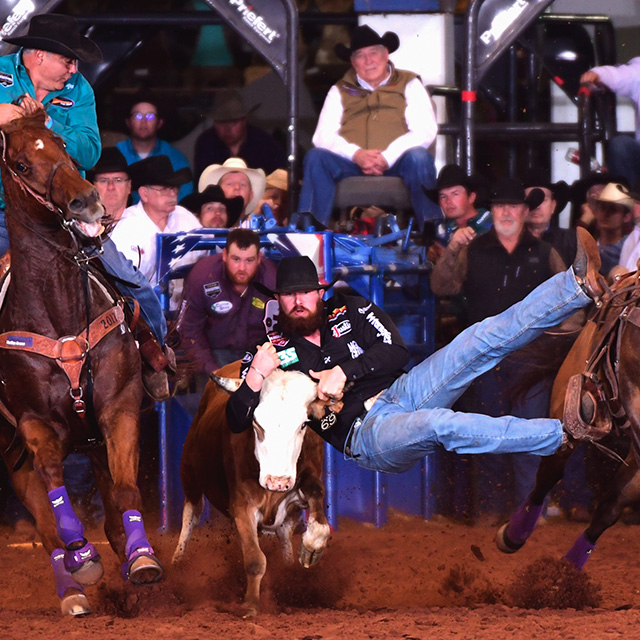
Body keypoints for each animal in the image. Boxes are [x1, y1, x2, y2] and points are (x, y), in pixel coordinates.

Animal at [0, 110, 162, 616]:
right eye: (21, 164)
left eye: (63, 144)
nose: (88, 201)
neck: (58, 312)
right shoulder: (34, 423)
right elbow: (54, 487)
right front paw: (83, 557)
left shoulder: (119, 408)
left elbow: (127, 490)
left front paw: (143, 559)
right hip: (11, 450)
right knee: (45, 523)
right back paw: (70, 589)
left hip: (91, 442)